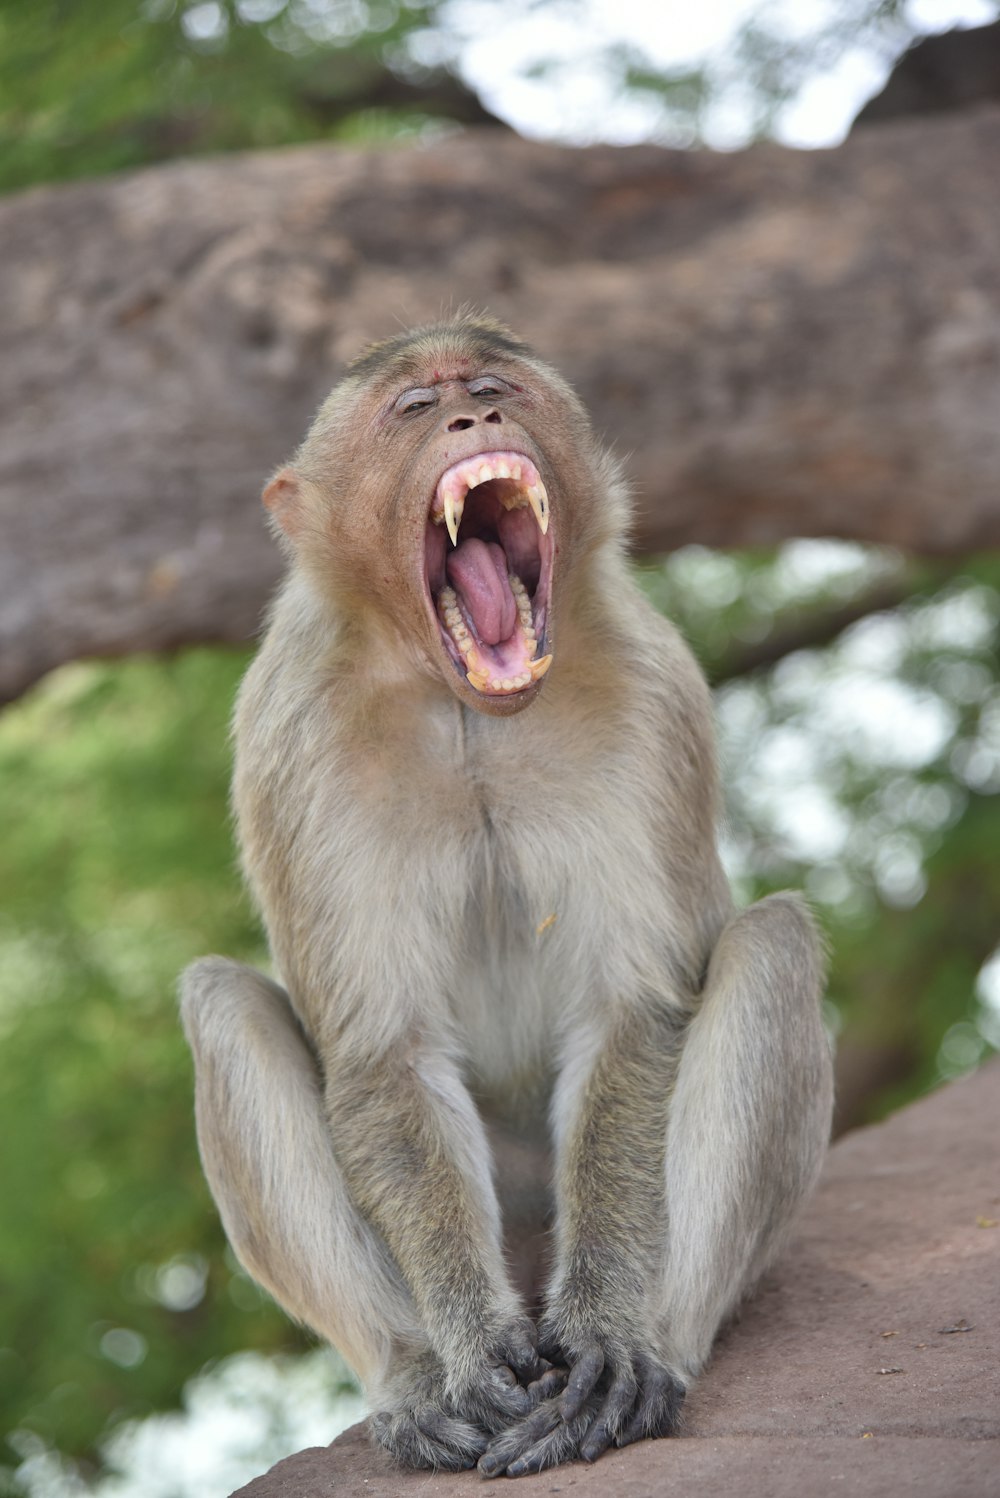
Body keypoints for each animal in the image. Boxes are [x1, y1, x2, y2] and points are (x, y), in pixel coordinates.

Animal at [181, 313, 838, 1474]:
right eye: (413, 407)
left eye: (494, 386)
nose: (471, 417)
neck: (464, 705)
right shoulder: (290, 731)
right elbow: (382, 1051)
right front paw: (473, 1346)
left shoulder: (650, 691)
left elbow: (633, 1010)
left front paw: (609, 1332)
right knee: (224, 1005)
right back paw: (412, 1378)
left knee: (772, 945)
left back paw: (653, 1353)